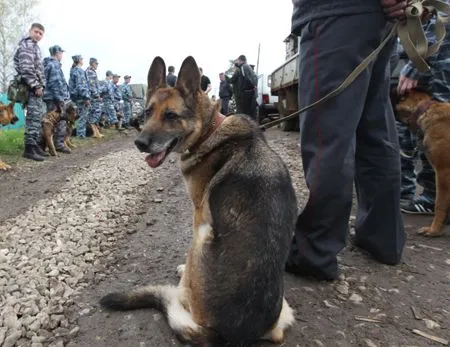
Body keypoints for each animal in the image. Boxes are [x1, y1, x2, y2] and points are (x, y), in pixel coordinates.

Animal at [100, 55, 298, 346]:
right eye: (148, 113)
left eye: (171, 116)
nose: (140, 143)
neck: (209, 130)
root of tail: (227, 336)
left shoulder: (198, 213)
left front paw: (184, 272)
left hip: (203, 235)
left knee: (183, 295)